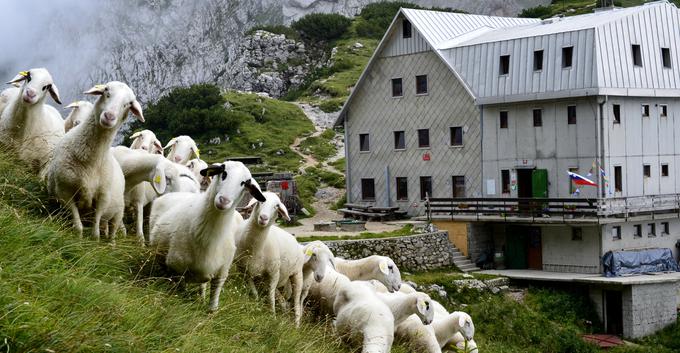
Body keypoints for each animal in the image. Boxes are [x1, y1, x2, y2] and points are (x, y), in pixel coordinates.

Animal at [47, 82, 145, 239]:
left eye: (128, 104)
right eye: (106, 91)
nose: (109, 116)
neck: (90, 160)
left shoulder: (102, 199)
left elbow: (95, 232)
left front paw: (94, 240)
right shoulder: (65, 192)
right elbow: (78, 227)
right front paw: (79, 240)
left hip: (117, 213)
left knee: (111, 231)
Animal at [151, 161, 266, 310]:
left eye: (243, 183)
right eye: (223, 173)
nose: (224, 201)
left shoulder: (221, 275)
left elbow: (213, 307)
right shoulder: (176, 270)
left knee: (202, 285)